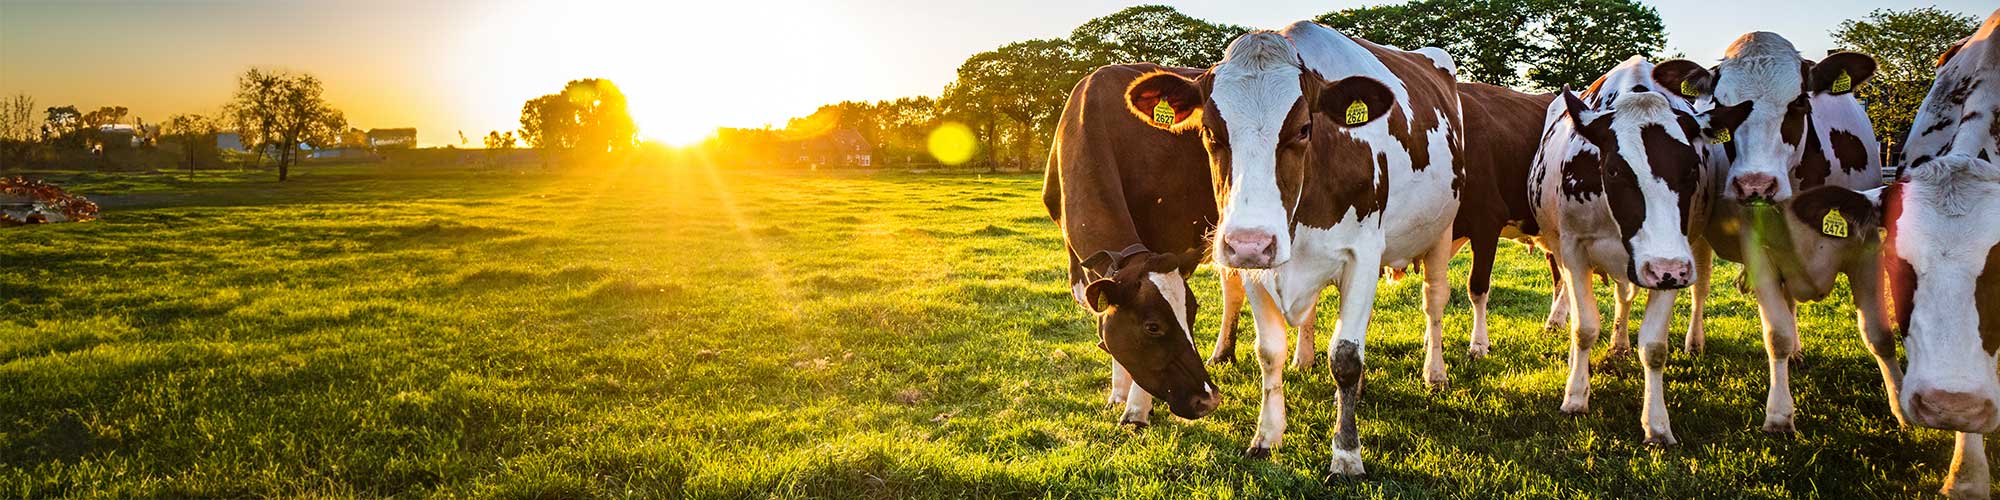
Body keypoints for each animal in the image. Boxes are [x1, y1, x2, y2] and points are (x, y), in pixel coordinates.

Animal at [1048, 61, 1232, 426]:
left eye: (1192, 314)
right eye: (1153, 327)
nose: (1207, 400)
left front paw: (1136, 410)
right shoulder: (1083, 263)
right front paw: (1117, 394)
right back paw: (1223, 354)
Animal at [1128, 22, 1472, 476]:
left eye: (1304, 129)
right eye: (1211, 133)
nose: (1251, 242)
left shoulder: (1363, 254)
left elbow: (1346, 357)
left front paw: (1346, 454)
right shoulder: (1257, 265)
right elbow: (1268, 352)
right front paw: (1266, 436)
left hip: (1441, 231)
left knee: (1433, 301)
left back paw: (1435, 373)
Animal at [1520, 55, 1744, 446]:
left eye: (1691, 169)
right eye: (1614, 170)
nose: (1666, 269)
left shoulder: (1672, 261)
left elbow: (1654, 347)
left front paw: (1657, 424)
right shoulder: (1574, 248)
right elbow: (1584, 328)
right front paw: (1575, 396)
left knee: (1691, 290)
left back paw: (1678, 341)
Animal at [1680, 33, 1896, 436]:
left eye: (1798, 103)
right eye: (1722, 106)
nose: (1755, 185)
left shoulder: (1868, 247)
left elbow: (1878, 333)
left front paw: (1902, 407)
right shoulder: (1757, 252)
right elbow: (1775, 335)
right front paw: (1779, 414)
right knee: (1700, 287)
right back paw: (1695, 341)